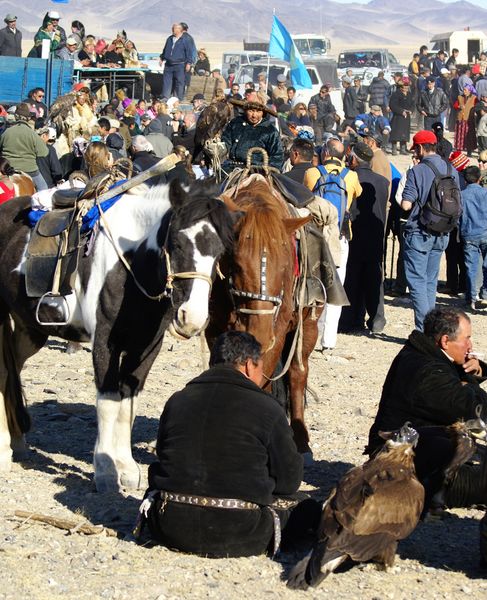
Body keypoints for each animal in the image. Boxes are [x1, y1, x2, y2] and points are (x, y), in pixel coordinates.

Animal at [0, 180, 234, 490]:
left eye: (220, 252)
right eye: (177, 243)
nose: (191, 318)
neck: (130, 268)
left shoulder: (146, 348)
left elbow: (128, 404)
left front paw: (127, 467)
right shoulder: (104, 343)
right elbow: (108, 403)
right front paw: (106, 470)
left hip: (30, 331)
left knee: (12, 371)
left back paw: (17, 441)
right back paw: (3, 449)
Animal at [211, 177, 322, 454]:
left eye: (285, 265)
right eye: (236, 265)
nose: (259, 333)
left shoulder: (278, 334)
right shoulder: (214, 329)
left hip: (308, 325)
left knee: (297, 373)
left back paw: (301, 440)